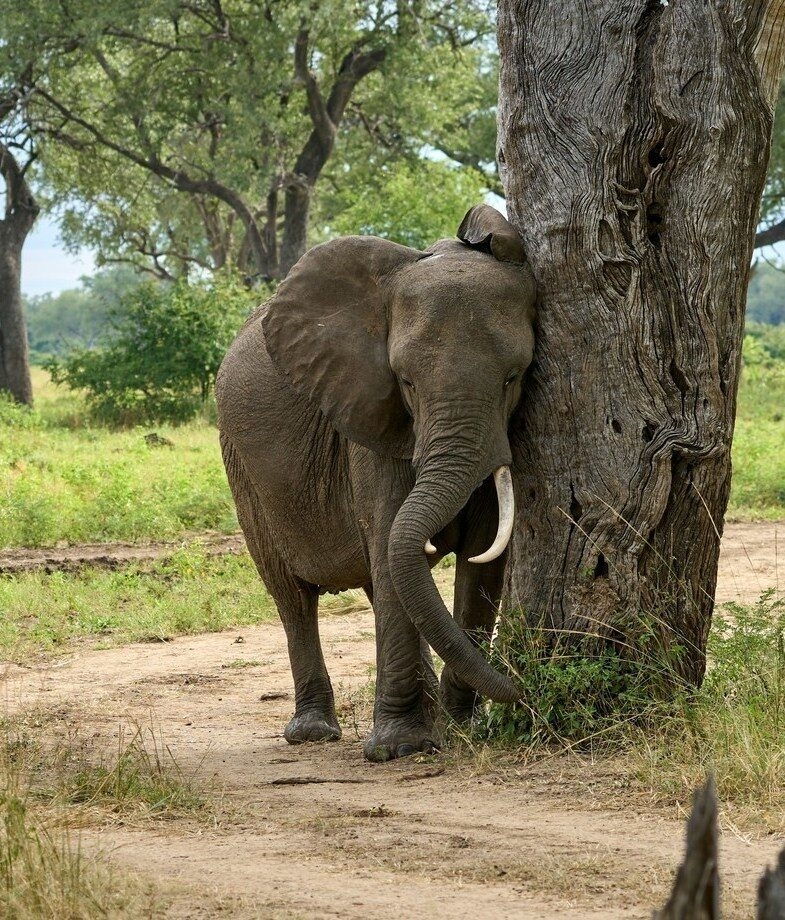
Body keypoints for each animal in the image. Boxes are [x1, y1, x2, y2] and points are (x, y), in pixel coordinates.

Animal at [216, 204, 536, 762]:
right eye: (405, 381)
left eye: (512, 378)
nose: (526, 692)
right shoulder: (370, 424)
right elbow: (391, 540)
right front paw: (400, 747)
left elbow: (483, 556)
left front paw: (461, 727)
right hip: (242, 469)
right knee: (292, 597)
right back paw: (313, 732)